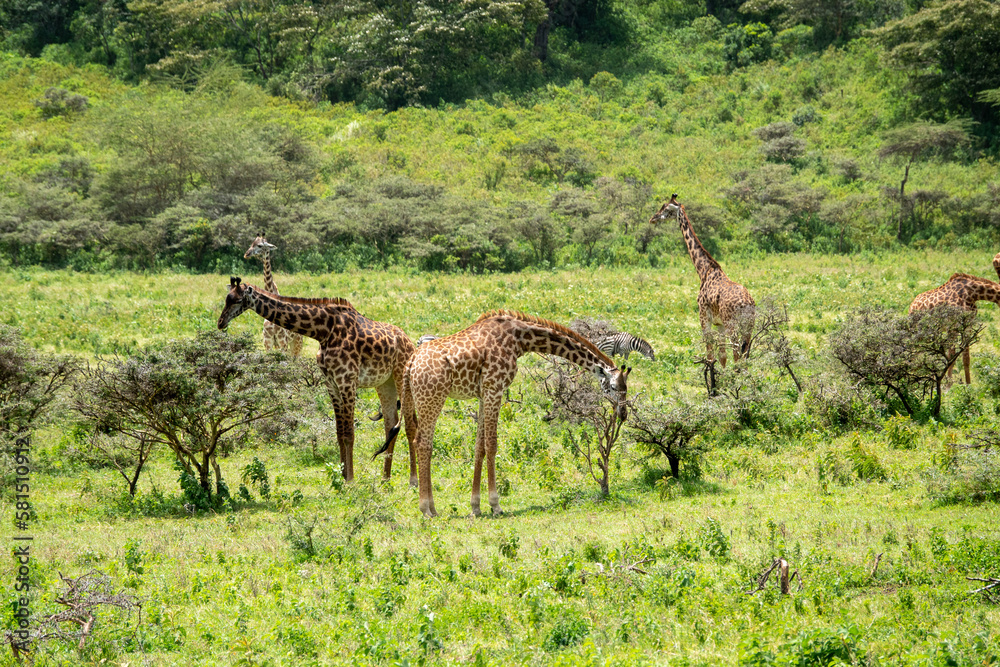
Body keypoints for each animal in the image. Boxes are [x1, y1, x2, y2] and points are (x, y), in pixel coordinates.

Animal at [218, 277, 417, 484]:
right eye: (226, 299)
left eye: (237, 300)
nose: (220, 322)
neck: (323, 331)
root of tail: (410, 342)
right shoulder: (331, 382)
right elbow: (339, 432)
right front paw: (341, 476)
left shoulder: (347, 380)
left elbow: (349, 434)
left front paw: (350, 479)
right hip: (385, 383)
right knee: (391, 424)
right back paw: (385, 478)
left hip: (401, 377)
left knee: (411, 425)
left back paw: (413, 480)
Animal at [374, 310, 630, 518]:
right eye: (614, 387)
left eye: (626, 388)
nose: (623, 414)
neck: (519, 339)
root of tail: (410, 363)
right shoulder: (495, 388)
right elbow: (492, 444)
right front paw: (495, 505)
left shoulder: (483, 393)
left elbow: (479, 446)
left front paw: (475, 506)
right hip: (432, 397)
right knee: (423, 442)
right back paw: (427, 509)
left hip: (415, 396)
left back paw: (432, 507)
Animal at [648, 194, 755, 366]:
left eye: (665, 208)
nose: (652, 218)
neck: (704, 270)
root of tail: (747, 304)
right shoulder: (719, 324)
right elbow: (722, 357)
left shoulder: (704, 318)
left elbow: (710, 356)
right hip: (748, 328)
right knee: (744, 357)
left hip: (733, 326)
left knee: (737, 357)